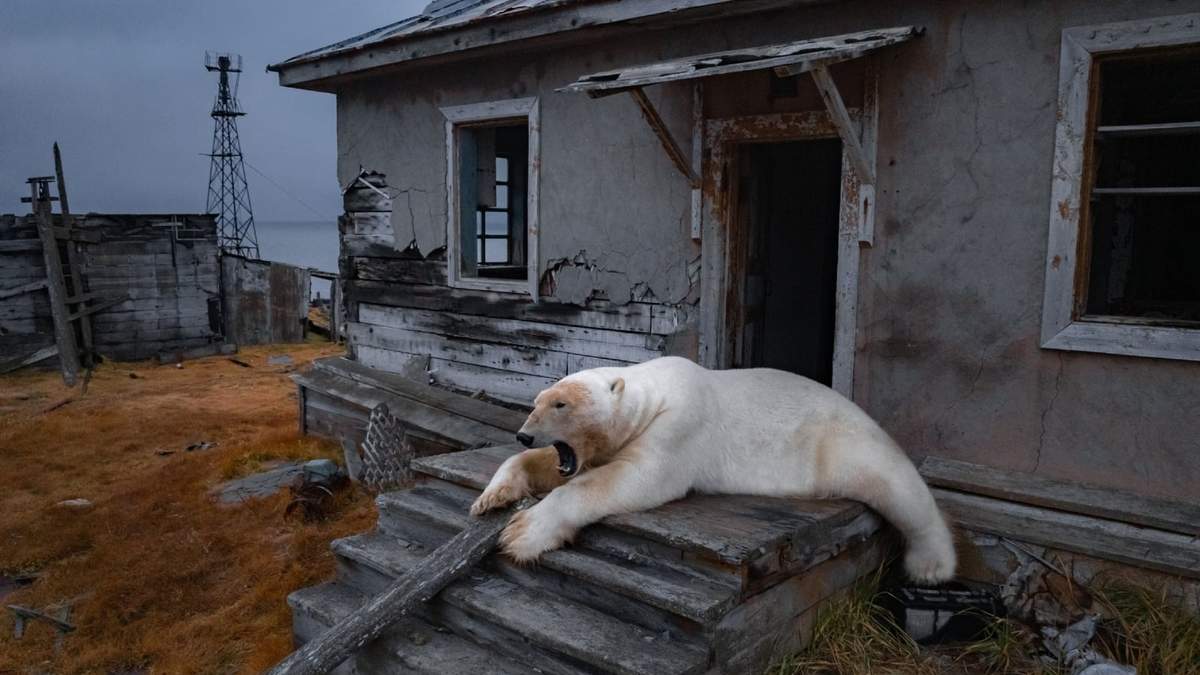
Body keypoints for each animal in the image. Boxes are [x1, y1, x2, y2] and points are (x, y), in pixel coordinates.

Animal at [471, 356, 957, 584]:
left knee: (897, 487)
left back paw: (931, 565)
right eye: (537, 401)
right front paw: (493, 495)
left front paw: (522, 533)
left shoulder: (679, 427)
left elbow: (632, 478)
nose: (524, 434)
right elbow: (558, 466)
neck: (654, 394)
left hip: (842, 442)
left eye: (561, 404)